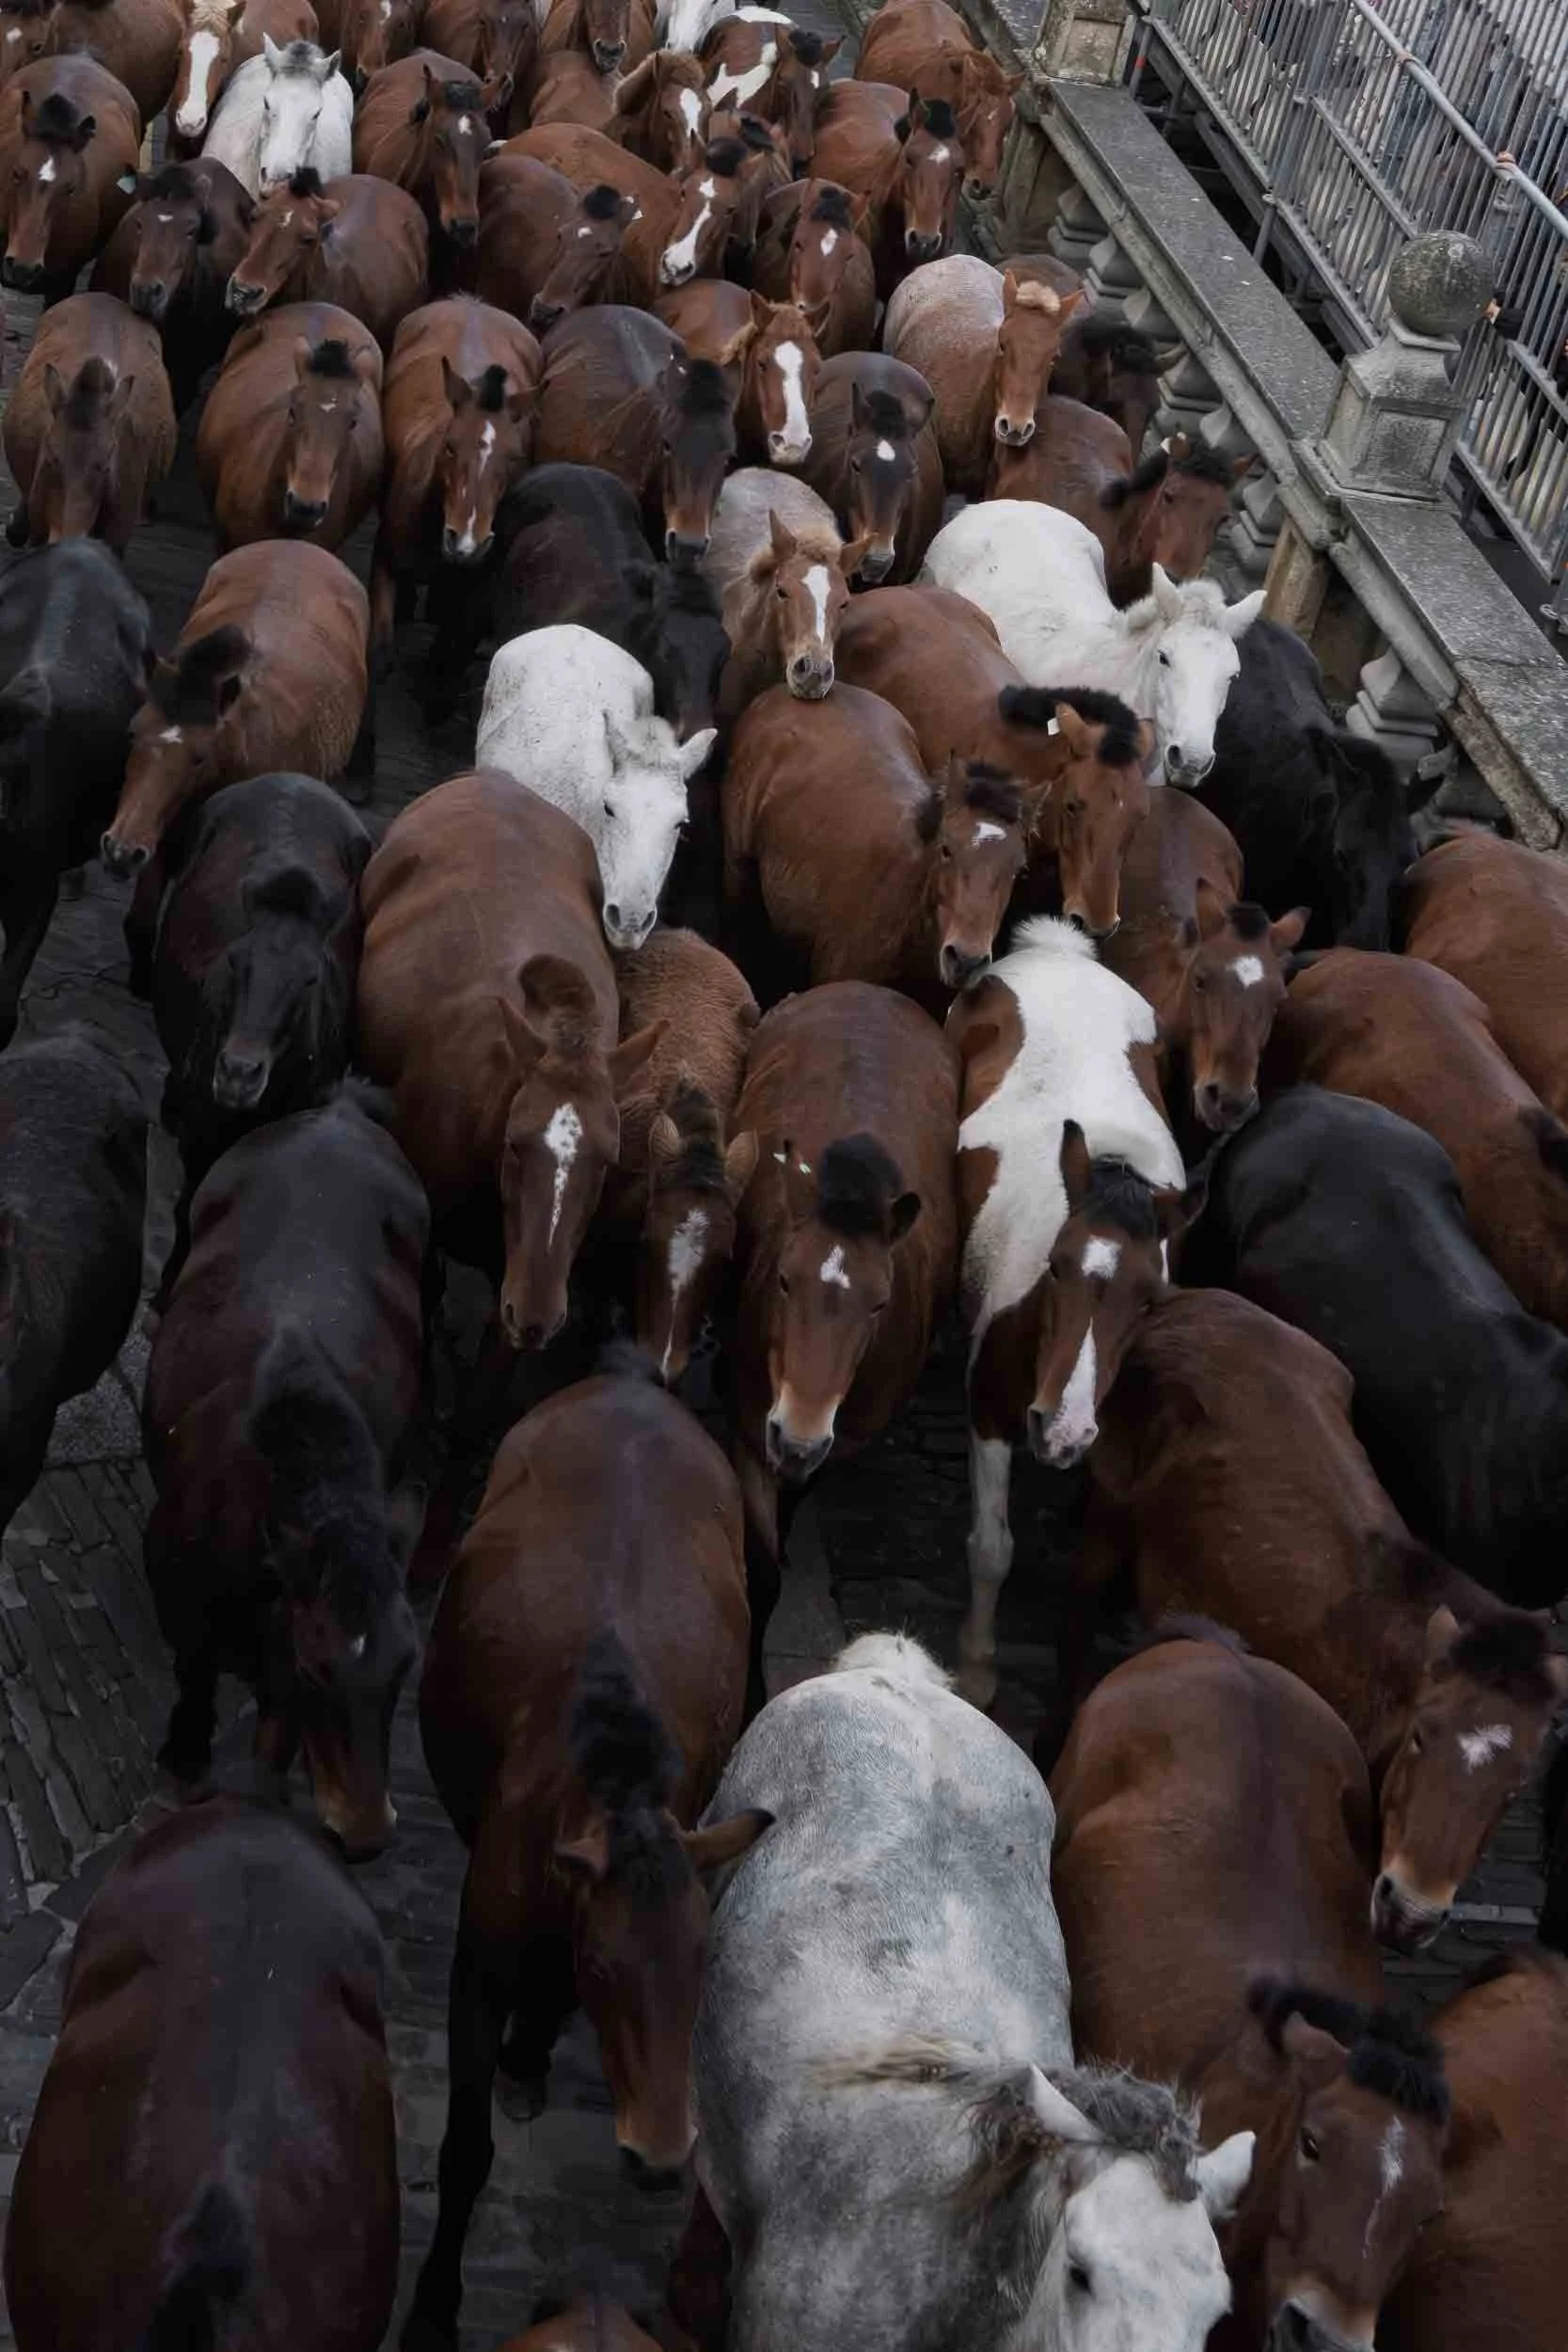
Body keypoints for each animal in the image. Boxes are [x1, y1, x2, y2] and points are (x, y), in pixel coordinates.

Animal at [145, 1088, 426, 1851]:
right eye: (316, 1665)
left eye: (406, 1665)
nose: (365, 1832)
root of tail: (340, 1113)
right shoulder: (182, 1589)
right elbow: (193, 1670)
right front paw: (184, 1760)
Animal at [946, 918, 1197, 1709]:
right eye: (1053, 1263)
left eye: (1151, 1299)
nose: (1060, 1430)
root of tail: (1057, 951)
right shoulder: (989, 1409)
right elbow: (989, 1549)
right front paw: (976, 1669)